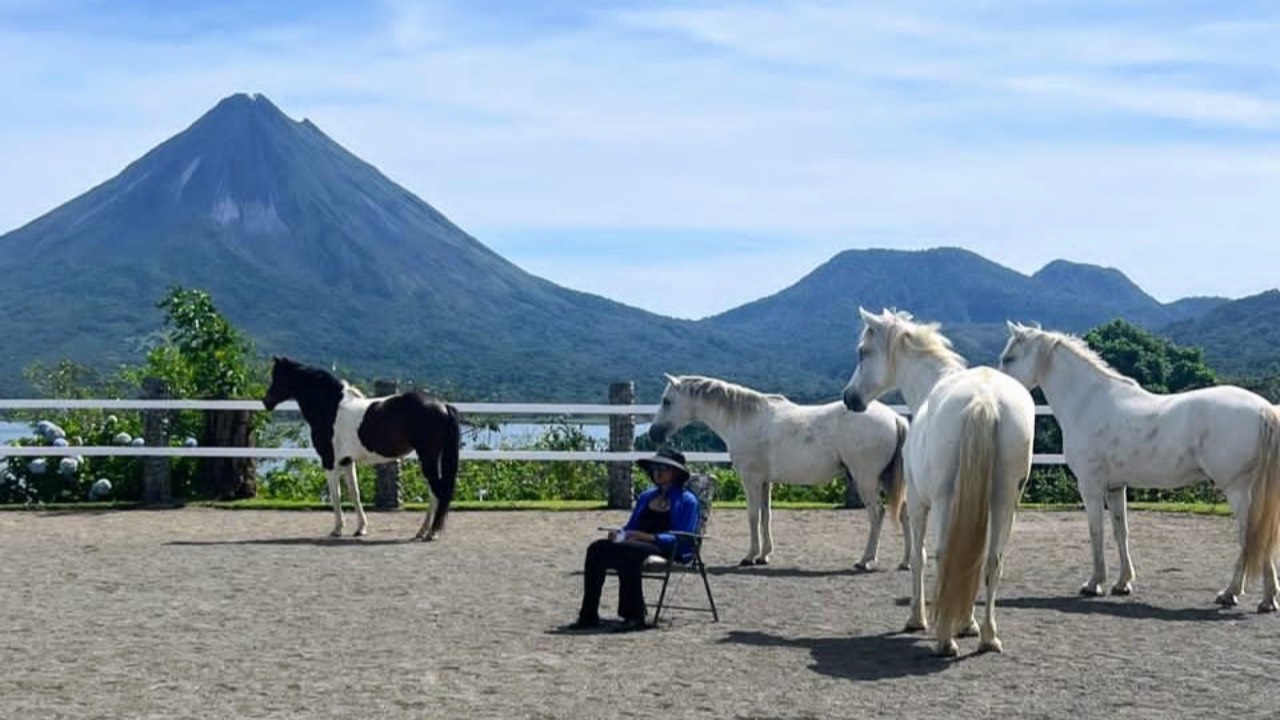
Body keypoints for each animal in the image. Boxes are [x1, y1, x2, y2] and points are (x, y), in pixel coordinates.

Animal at [262, 356, 461, 541]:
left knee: (438, 491)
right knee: (434, 494)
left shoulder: (329, 461)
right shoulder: (347, 461)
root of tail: (443, 405)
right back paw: (422, 531)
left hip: (428, 458)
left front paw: (337, 529)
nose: (265, 401)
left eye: (277, 377)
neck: (330, 408)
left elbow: (336, 495)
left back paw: (432, 532)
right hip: (433, 458)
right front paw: (360, 529)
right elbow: (354, 493)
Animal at [648, 373, 909, 570]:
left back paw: (865, 560)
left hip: (867, 479)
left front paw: (749, 556)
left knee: (877, 514)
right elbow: (766, 515)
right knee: (904, 513)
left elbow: (753, 516)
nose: (653, 433)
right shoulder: (766, 482)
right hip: (887, 480)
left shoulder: (751, 480)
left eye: (666, 401)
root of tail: (894, 417)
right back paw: (905, 562)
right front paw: (764, 555)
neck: (745, 420)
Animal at [843, 309, 1034, 656]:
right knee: (993, 561)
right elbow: (973, 558)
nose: (849, 397)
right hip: (1004, 503)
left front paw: (916, 619)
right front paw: (968, 624)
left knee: (944, 556)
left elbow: (918, 557)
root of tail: (984, 401)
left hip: (945, 502)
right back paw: (988, 636)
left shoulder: (919, 505)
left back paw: (944, 639)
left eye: (863, 352)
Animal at [999, 323, 1280, 611]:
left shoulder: (1090, 486)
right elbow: (1120, 531)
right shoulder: (1115, 487)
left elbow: (1096, 532)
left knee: (1250, 536)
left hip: (1237, 490)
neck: (1088, 402)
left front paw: (1093, 584)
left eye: (1009, 358)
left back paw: (1231, 592)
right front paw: (1122, 583)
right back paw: (1267, 599)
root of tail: (1265, 410)